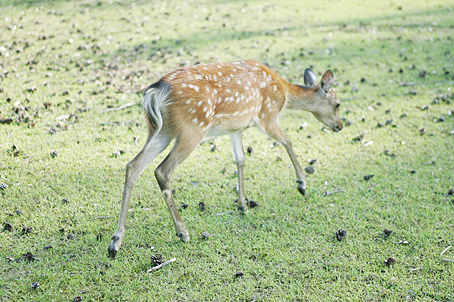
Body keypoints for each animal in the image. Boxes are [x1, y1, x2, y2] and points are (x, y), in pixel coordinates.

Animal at [108, 60, 342, 258]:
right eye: (338, 104)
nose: (340, 125)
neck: (283, 92)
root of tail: (154, 93)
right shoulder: (267, 115)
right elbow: (287, 141)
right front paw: (302, 184)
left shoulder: (236, 128)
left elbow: (240, 159)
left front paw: (242, 205)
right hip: (193, 126)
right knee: (162, 170)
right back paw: (183, 232)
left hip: (160, 130)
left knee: (133, 166)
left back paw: (115, 242)